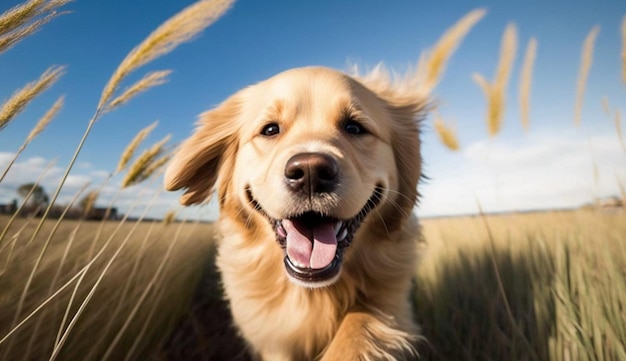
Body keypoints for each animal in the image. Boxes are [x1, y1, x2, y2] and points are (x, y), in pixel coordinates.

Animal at [166, 65, 426, 360]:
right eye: (270, 129)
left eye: (354, 127)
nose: (311, 172)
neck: (311, 292)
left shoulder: (392, 301)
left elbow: (359, 326)